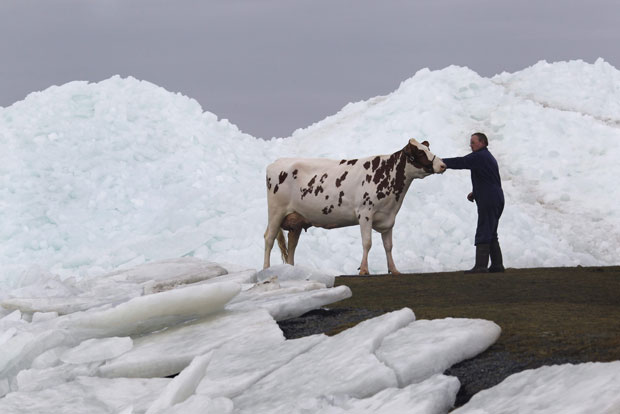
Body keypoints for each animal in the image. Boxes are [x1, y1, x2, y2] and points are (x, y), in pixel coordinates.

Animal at [262, 139, 446, 274]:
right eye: (420, 152)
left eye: (428, 148)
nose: (443, 165)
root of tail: (275, 163)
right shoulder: (365, 212)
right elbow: (367, 243)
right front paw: (364, 270)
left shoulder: (388, 217)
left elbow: (388, 246)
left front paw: (394, 270)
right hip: (276, 211)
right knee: (269, 238)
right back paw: (266, 269)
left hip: (297, 219)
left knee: (292, 245)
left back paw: (291, 271)